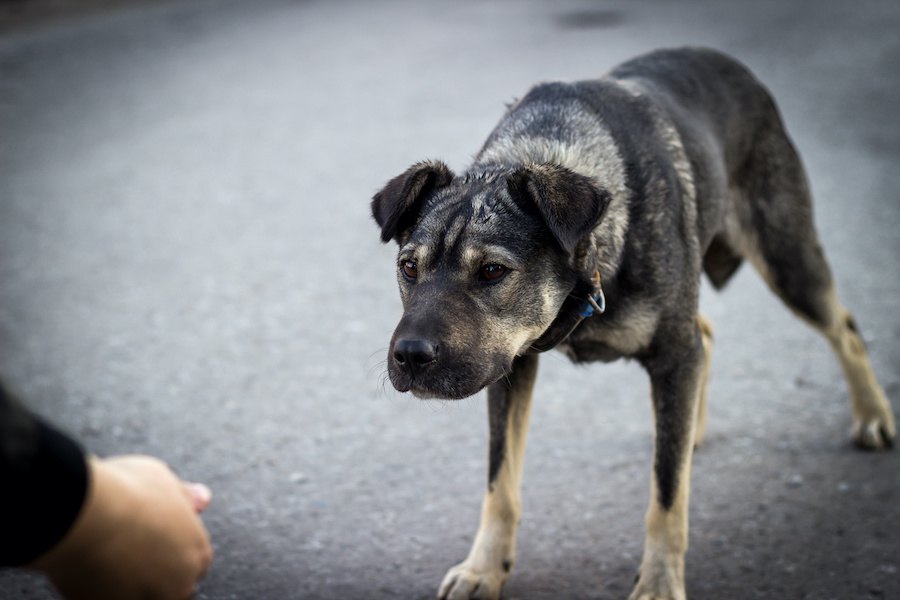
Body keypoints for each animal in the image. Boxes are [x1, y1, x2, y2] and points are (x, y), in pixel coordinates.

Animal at [368, 48, 892, 600]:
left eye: (492, 271)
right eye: (408, 267)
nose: (410, 357)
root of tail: (734, 65)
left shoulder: (672, 353)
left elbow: (667, 495)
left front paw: (660, 583)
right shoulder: (511, 369)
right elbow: (499, 481)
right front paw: (484, 568)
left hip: (787, 257)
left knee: (844, 328)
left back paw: (873, 416)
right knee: (707, 334)